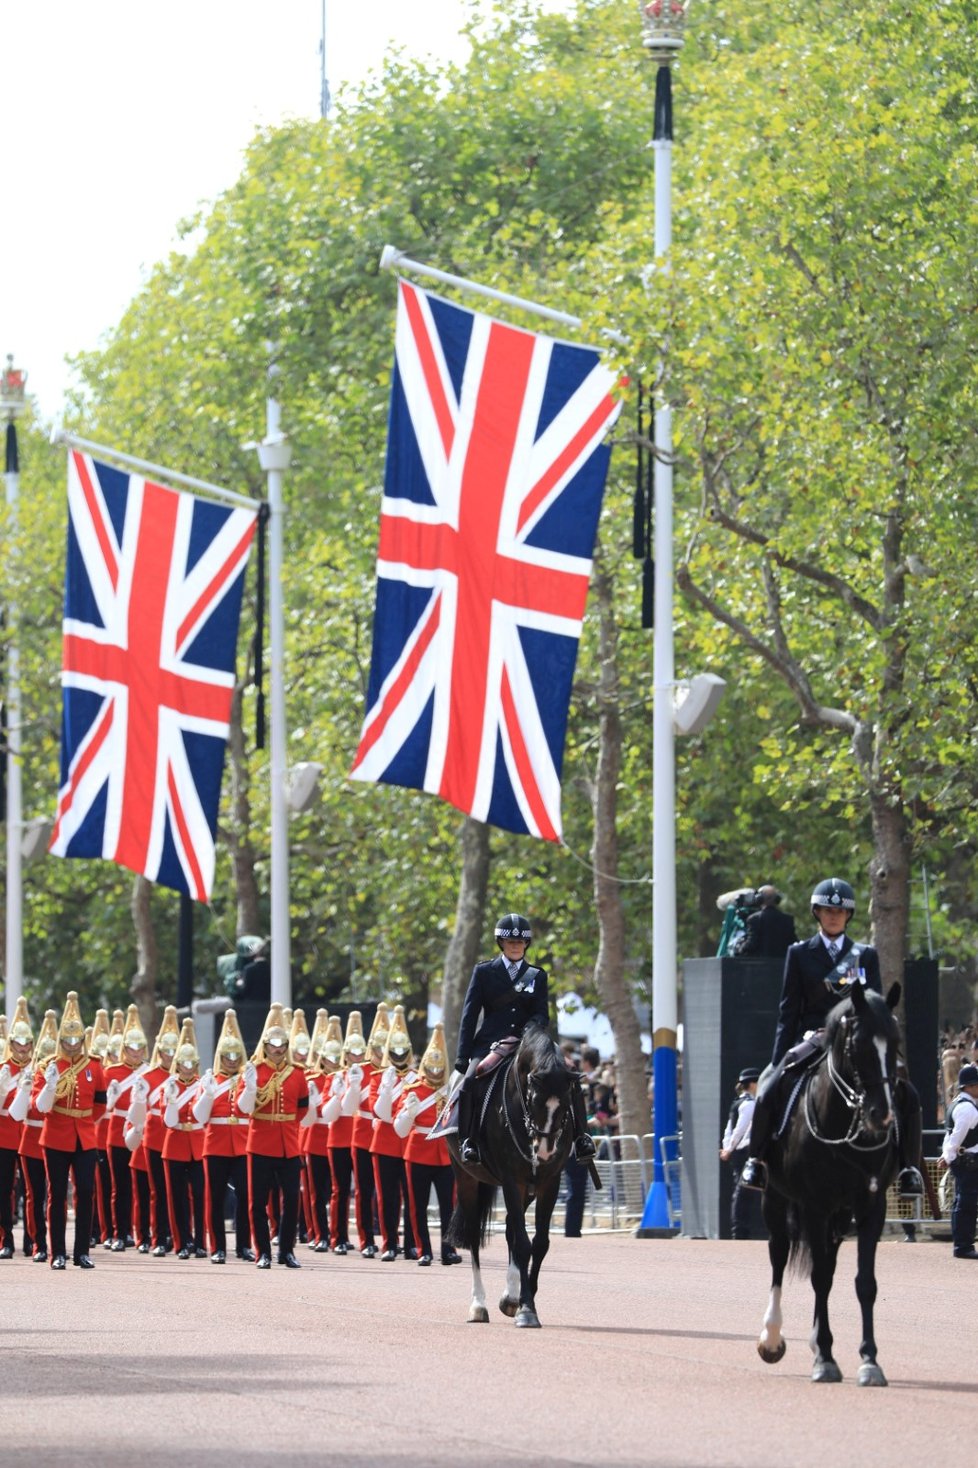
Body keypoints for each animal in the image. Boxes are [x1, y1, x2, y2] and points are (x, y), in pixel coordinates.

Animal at [446, 1021, 575, 1332]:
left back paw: (510, 1295)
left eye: (568, 1101)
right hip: (467, 1178)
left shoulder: (549, 1182)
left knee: (508, 1228)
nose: (544, 1151)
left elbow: (538, 1243)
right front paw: (527, 1310)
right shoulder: (510, 1180)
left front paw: (523, 1301)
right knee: (474, 1236)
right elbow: (523, 1242)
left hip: (527, 1187)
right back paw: (478, 1305)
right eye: (534, 1099)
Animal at [751, 980, 898, 1379]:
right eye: (858, 1045)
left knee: (828, 1262)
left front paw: (869, 1360)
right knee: (779, 1254)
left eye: (895, 1044)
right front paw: (826, 1359)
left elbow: (864, 1283)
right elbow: (817, 1277)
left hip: (839, 1215)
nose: (881, 1115)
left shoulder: (870, 1206)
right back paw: (772, 1337)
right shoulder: (814, 1206)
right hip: (775, 1199)